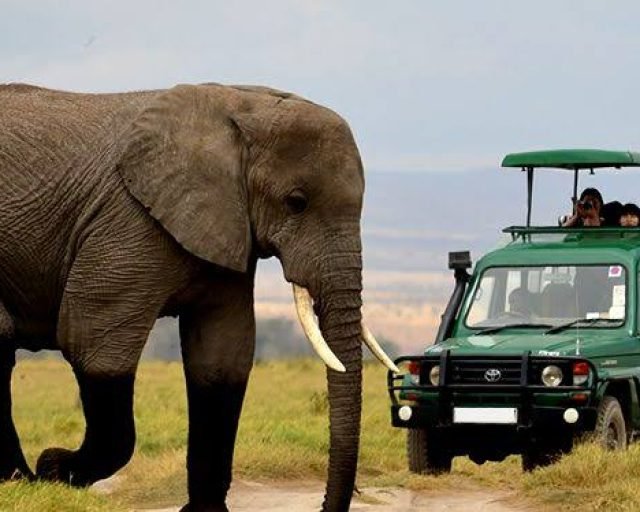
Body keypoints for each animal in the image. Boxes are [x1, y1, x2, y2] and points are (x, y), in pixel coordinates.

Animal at [0, 82, 397, 511]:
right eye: (296, 202)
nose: (323, 504)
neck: (241, 104)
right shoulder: (128, 220)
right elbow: (93, 344)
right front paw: (53, 469)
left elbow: (222, 358)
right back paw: (21, 480)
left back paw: (17, 480)